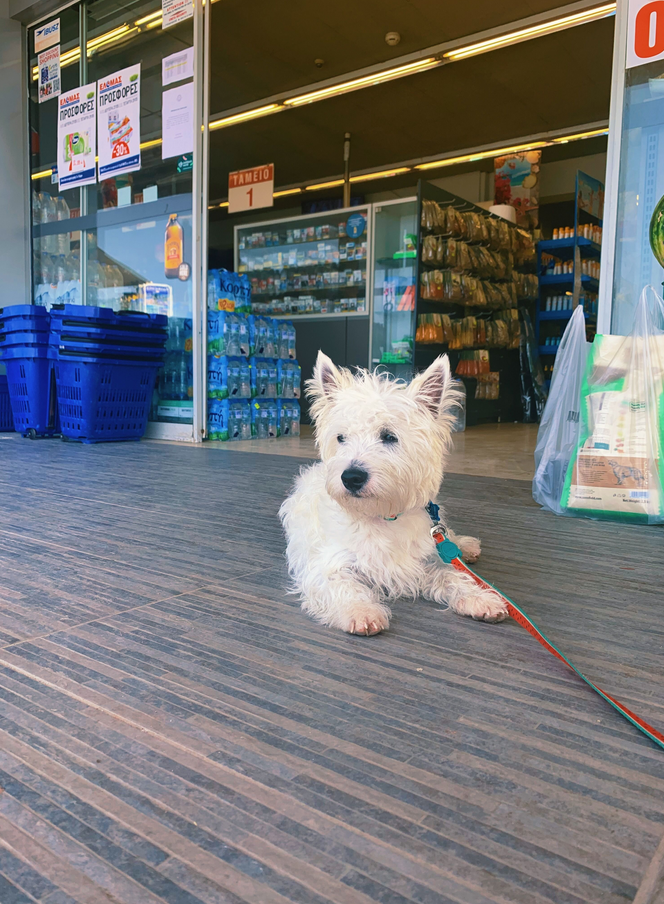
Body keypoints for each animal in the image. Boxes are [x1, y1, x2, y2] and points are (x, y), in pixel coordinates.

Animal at [280, 354, 508, 636]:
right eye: (341, 437)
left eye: (389, 437)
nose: (351, 477)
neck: (381, 516)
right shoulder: (327, 565)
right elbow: (344, 585)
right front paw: (361, 611)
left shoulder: (422, 562)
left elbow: (451, 575)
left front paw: (480, 598)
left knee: (447, 538)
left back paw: (465, 546)